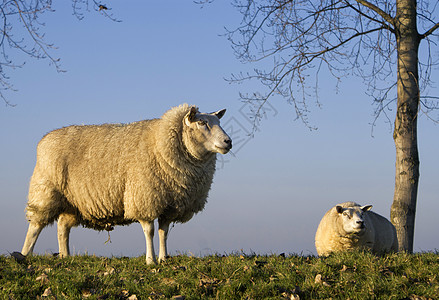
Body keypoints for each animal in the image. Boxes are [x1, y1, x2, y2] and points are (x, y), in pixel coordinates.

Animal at [20, 104, 234, 264]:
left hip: (72, 201)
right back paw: (24, 255)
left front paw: (164, 259)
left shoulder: (168, 203)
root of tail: (45, 138)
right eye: (202, 122)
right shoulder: (144, 197)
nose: (228, 142)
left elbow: (164, 232)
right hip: (45, 190)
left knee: (63, 227)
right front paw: (150, 260)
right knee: (35, 226)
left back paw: (66, 256)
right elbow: (150, 231)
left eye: (218, 122)